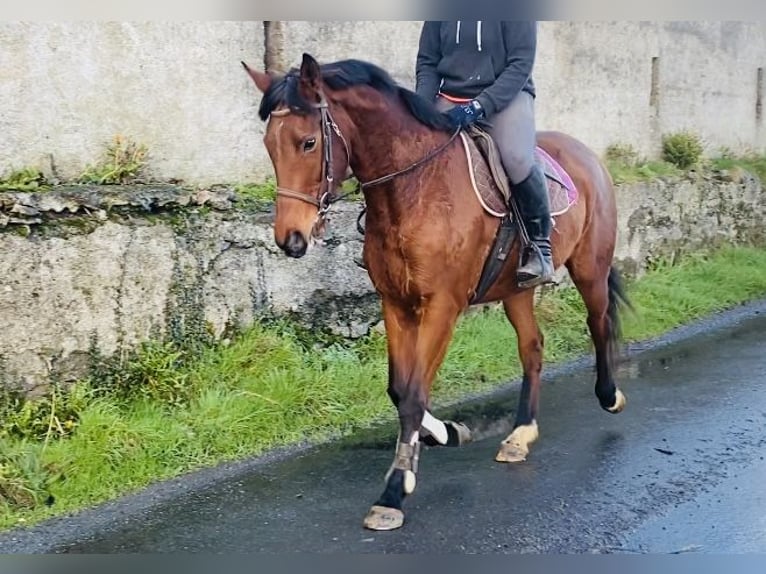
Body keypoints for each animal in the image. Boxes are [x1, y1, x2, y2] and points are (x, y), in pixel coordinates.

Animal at [244, 55, 632, 536]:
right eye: (269, 144)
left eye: (309, 142)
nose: (290, 239)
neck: (415, 188)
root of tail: (584, 152)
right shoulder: (396, 303)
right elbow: (399, 389)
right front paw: (447, 432)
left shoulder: (442, 307)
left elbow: (413, 395)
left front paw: (394, 491)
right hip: (515, 289)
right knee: (532, 347)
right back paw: (521, 433)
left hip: (590, 269)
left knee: (598, 322)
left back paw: (609, 396)